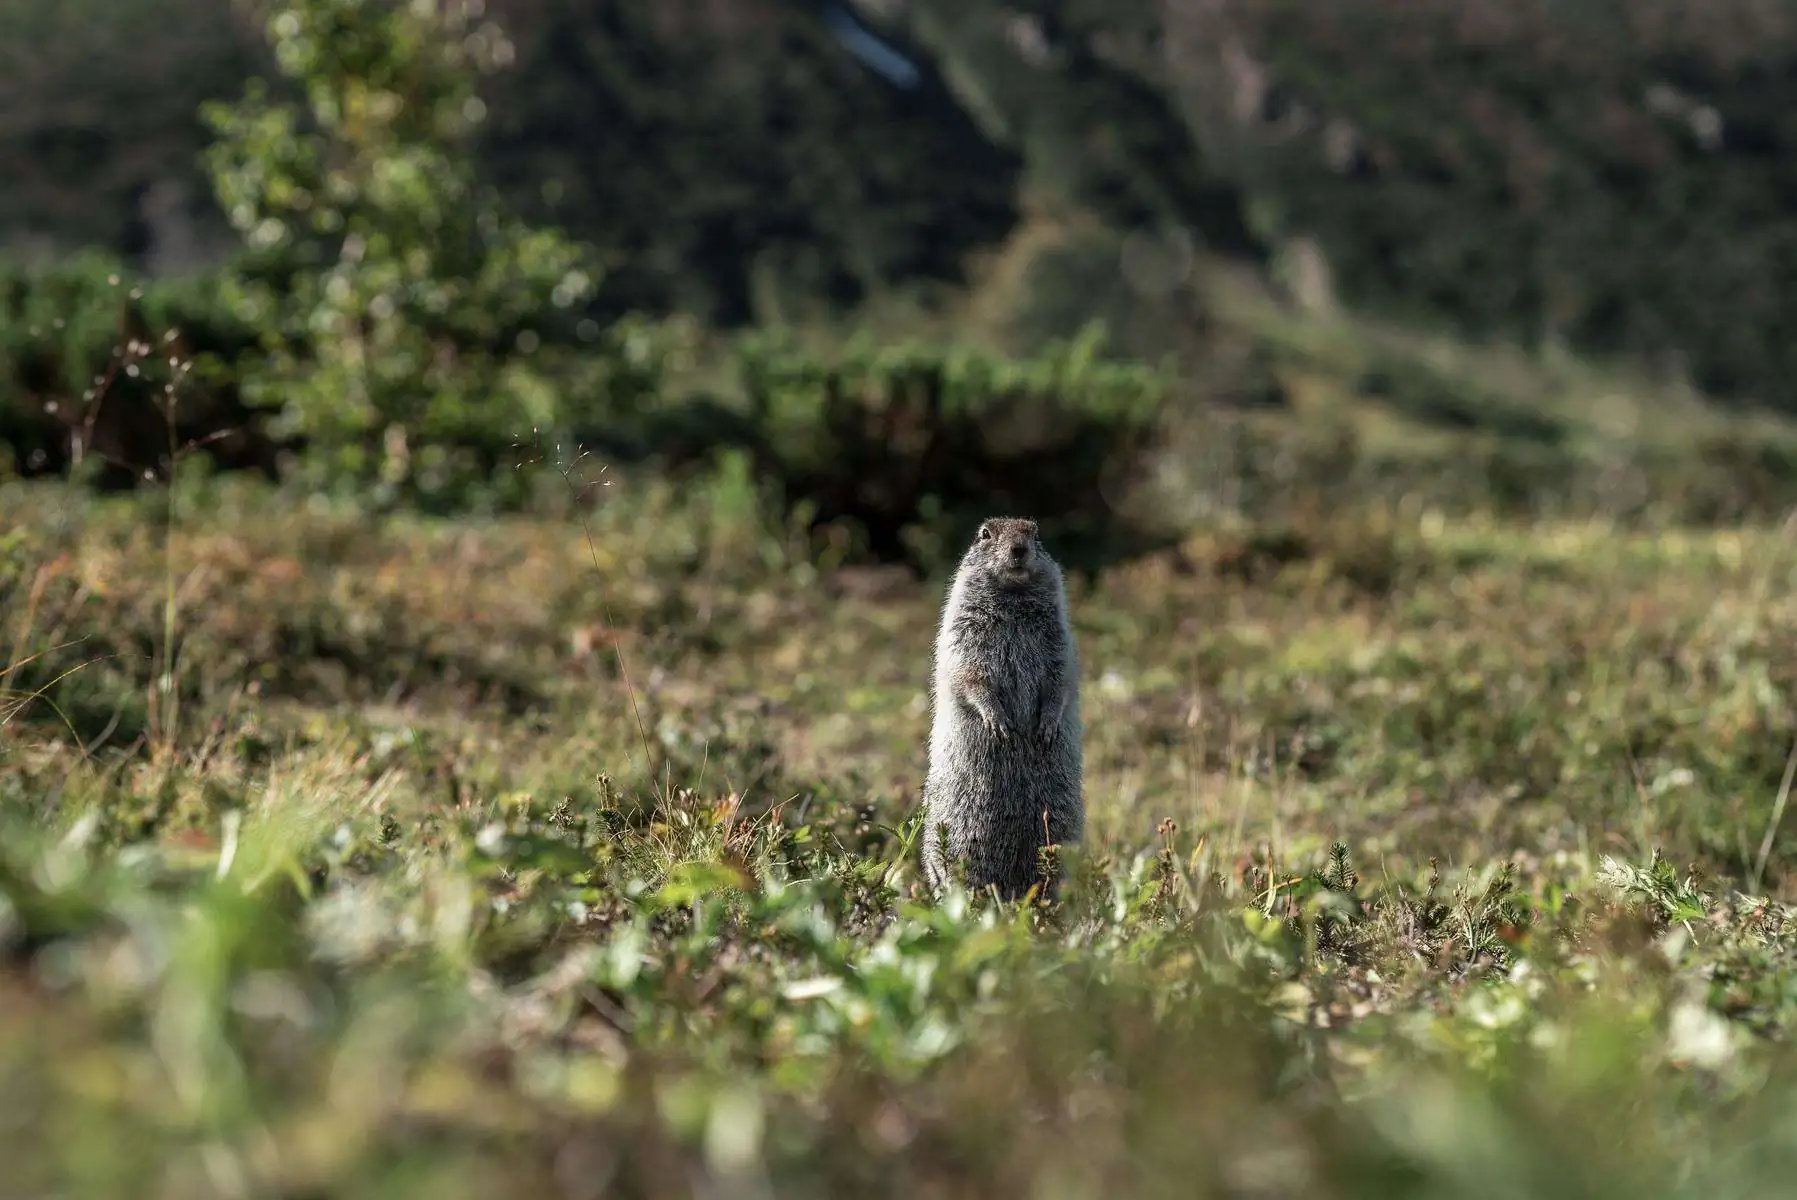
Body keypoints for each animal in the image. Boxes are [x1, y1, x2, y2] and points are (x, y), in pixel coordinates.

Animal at [927, 517, 1078, 898]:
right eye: (985, 534)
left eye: (1035, 533)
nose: (1019, 549)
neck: (1013, 599)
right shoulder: (964, 629)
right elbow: (971, 674)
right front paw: (999, 723)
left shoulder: (1059, 637)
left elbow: (1059, 676)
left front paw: (1047, 725)